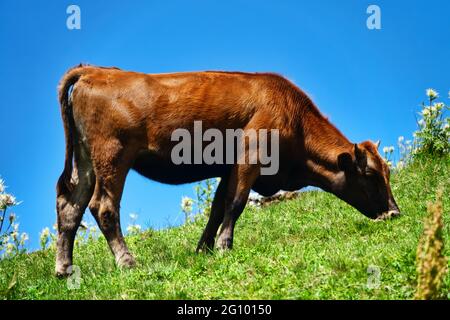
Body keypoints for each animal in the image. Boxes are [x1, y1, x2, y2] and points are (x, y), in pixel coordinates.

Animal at [55, 64, 400, 276]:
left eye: (387, 172)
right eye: (370, 175)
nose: (395, 212)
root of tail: (94, 70)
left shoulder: (227, 168)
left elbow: (218, 207)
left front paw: (203, 249)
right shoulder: (251, 155)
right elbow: (236, 203)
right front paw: (224, 247)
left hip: (86, 162)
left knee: (70, 208)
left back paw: (64, 269)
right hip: (113, 156)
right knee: (104, 207)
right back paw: (127, 261)